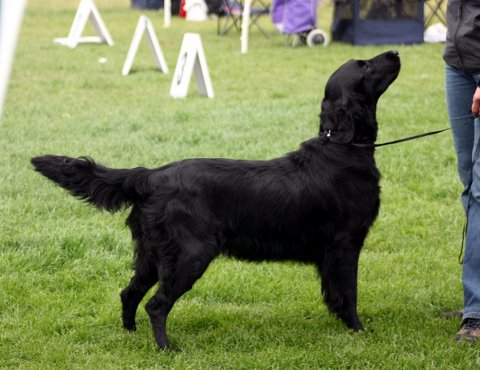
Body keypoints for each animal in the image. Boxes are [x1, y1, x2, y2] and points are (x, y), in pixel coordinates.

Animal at [31, 50, 402, 348]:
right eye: (365, 66)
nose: (396, 52)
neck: (343, 146)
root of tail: (151, 175)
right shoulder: (345, 243)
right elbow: (349, 293)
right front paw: (358, 330)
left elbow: (335, 293)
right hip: (190, 254)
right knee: (156, 304)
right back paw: (166, 348)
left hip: (151, 255)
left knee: (129, 293)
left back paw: (130, 334)